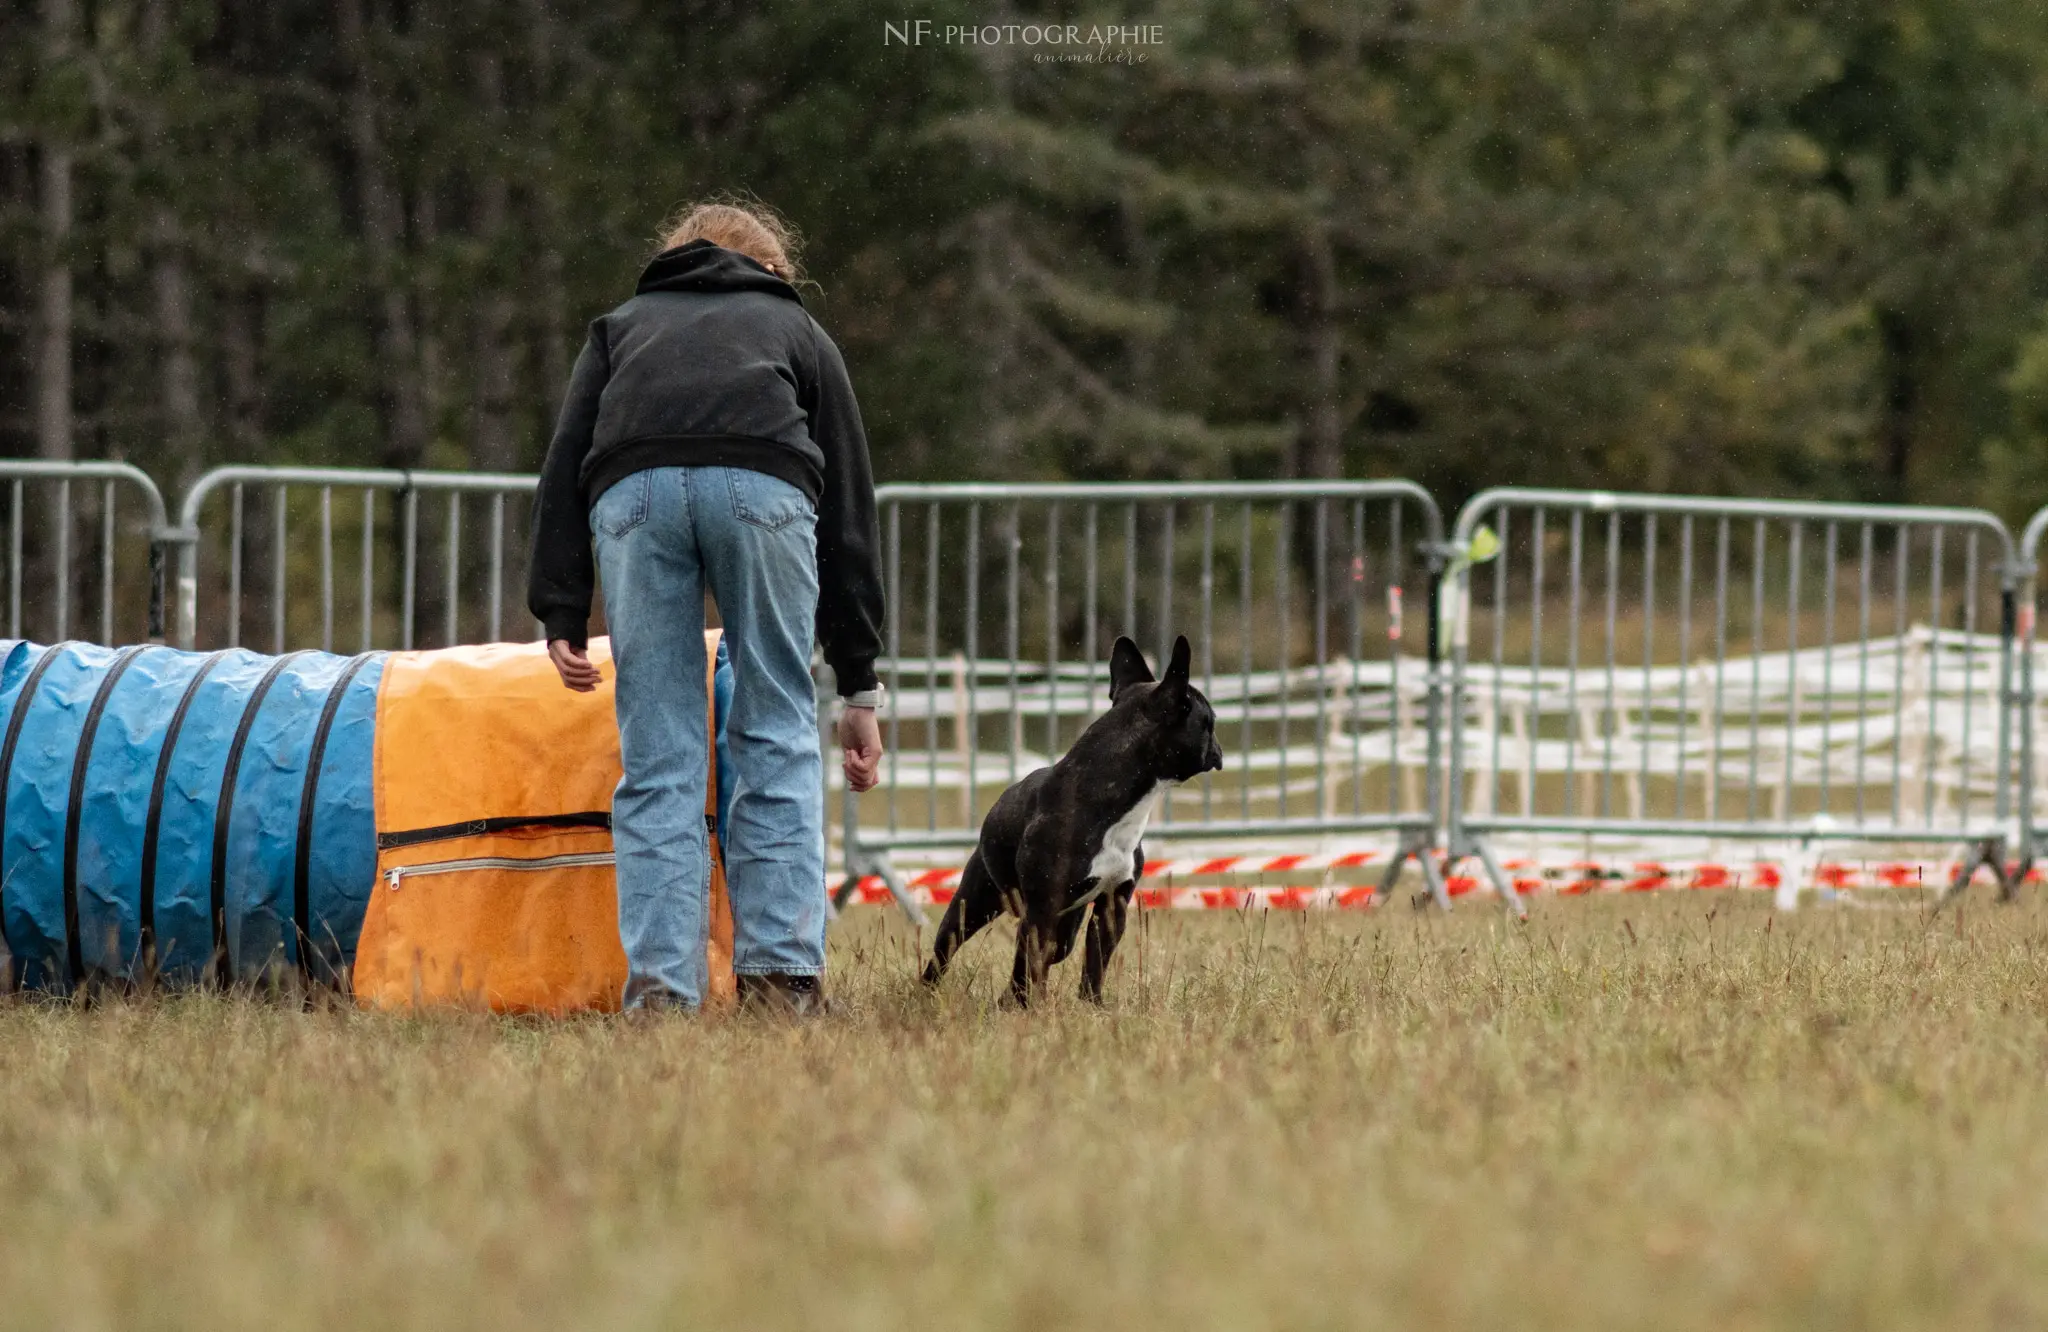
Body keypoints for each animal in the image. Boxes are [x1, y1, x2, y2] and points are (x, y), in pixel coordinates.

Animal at [921, 631, 1220, 995]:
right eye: (1210, 722)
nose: (1217, 747)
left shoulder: (1112, 905)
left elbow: (1095, 964)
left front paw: (1092, 1003)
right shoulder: (1042, 910)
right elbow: (1030, 964)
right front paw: (1026, 1004)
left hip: (1064, 924)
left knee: (1050, 953)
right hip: (977, 900)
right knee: (949, 946)